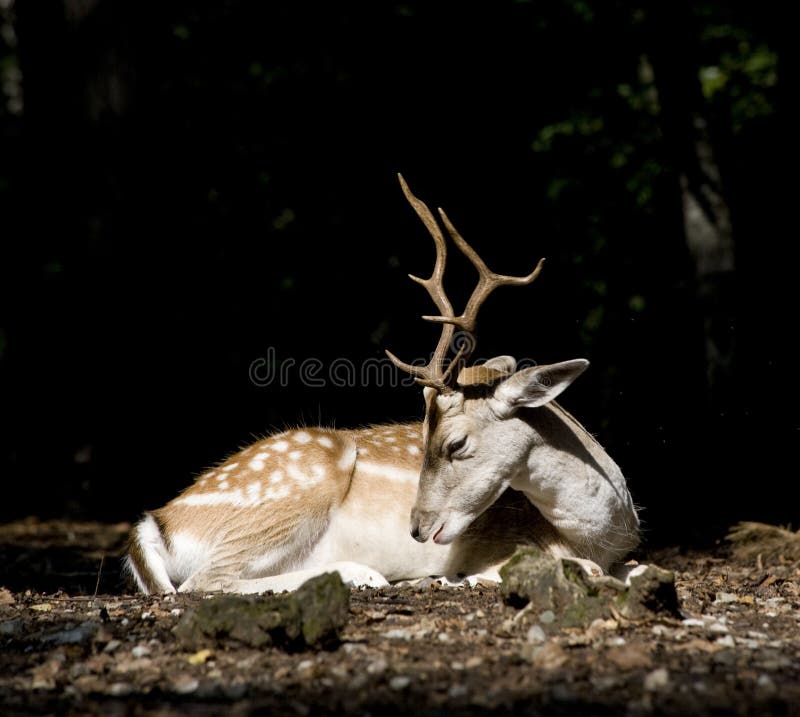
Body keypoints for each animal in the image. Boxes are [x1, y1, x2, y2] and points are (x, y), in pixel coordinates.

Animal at [125, 175, 640, 594]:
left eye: (455, 444)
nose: (417, 529)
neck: (602, 531)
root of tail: (159, 522)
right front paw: (465, 576)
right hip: (296, 488)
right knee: (203, 581)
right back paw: (366, 574)